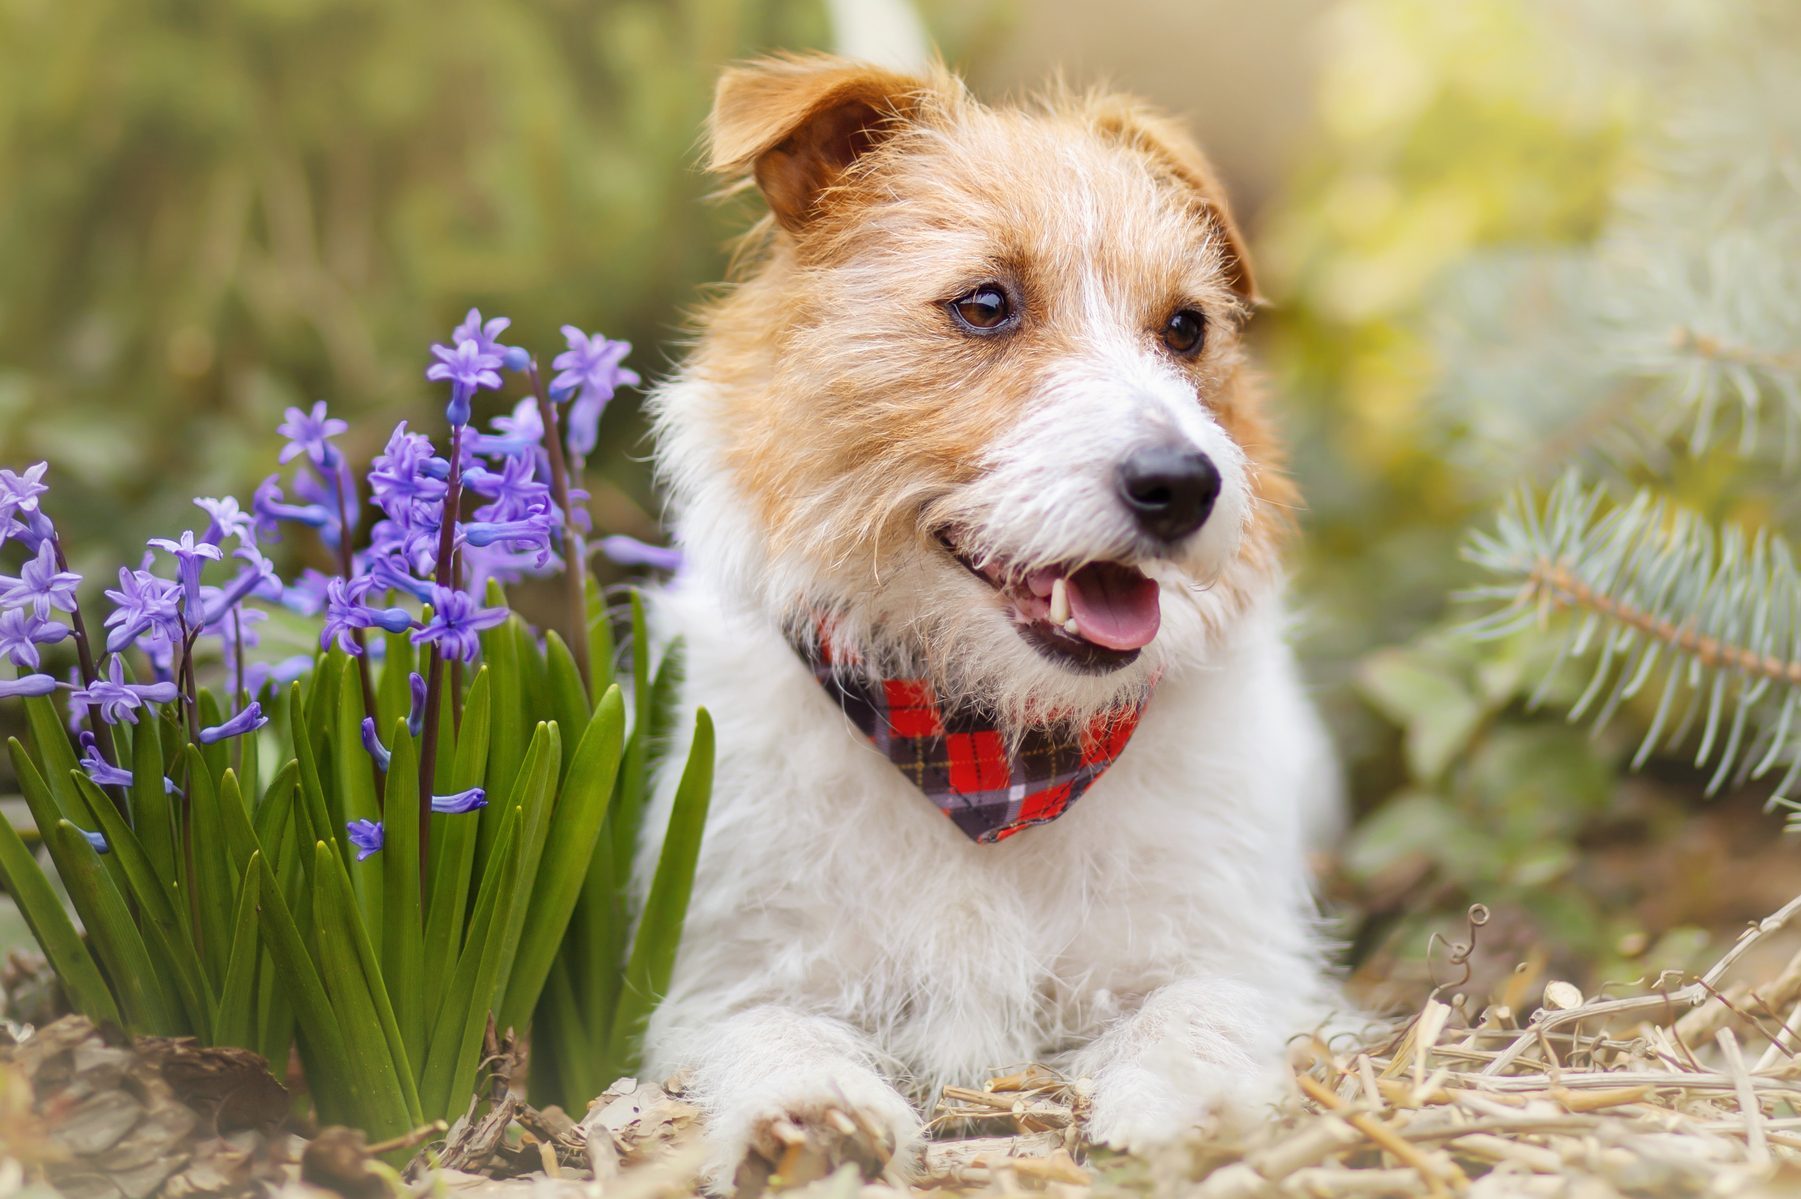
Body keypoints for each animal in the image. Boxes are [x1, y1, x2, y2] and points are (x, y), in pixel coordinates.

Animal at [641, 51, 1347, 1180]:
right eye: (984, 303)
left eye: (1185, 327)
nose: (1182, 482)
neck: (987, 744)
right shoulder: (727, 972)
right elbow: (767, 1028)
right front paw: (810, 1112)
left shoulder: (1238, 951)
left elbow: (1198, 1010)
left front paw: (1175, 1102)